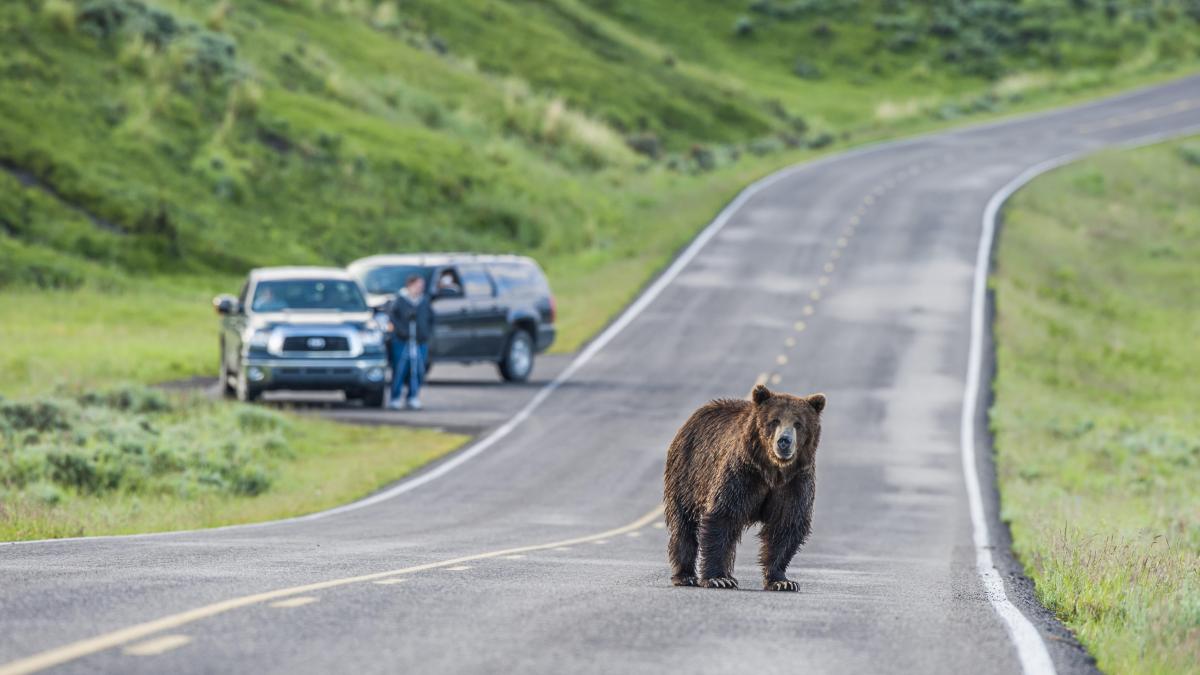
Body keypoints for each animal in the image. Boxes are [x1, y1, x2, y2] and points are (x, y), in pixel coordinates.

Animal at [667, 384, 825, 588]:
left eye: (798, 423)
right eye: (774, 421)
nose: (784, 441)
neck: (773, 472)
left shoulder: (795, 483)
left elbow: (786, 524)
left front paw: (782, 581)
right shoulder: (742, 475)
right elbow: (723, 516)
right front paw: (717, 578)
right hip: (687, 475)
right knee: (684, 523)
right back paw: (685, 575)